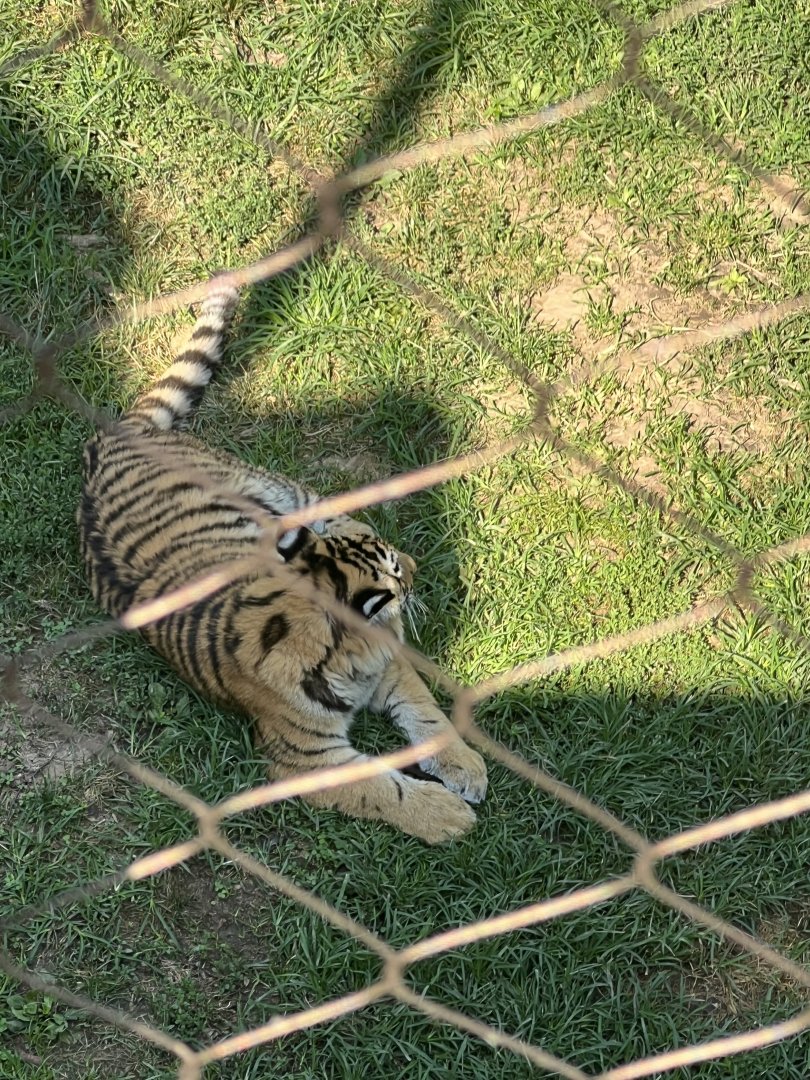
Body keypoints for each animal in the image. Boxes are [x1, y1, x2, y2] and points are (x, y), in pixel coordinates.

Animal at [77, 278, 487, 843]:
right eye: (395, 574)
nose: (415, 567)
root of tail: (110, 437)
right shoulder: (309, 758)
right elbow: (386, 790)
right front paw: (449, 816)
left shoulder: (389, 667)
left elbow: (428, 713)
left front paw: (467, 768)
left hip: (287, 493)